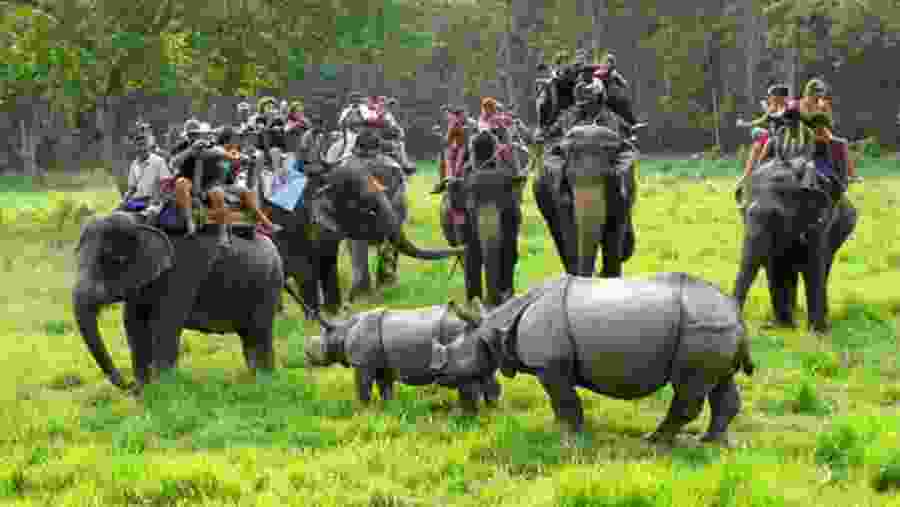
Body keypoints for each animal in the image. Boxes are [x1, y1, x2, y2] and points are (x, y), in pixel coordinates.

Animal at [304, 304, 502, 412]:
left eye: (320, 345)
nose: (306, 353)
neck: (343, 330)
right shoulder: (382, 365)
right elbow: (385, 388)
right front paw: (388, 409)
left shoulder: (362, 364)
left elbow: (363, 389)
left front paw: (363, 411)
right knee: (484, 373)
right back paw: (491, 410)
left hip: (457, 333)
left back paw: (468, 414)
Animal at [444, 272, 755, 445]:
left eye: (456, 357)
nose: (440, 373)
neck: (495, 329)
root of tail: (734, 311)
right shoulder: (552, 366)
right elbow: (561, 402)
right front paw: (562, 430)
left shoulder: (550, 366)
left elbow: (564, 400)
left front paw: (568, 436)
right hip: (715, 324)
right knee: (719, 383)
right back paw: (711, 442)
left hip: (702, 326)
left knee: (689, 387)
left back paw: (654, 441)